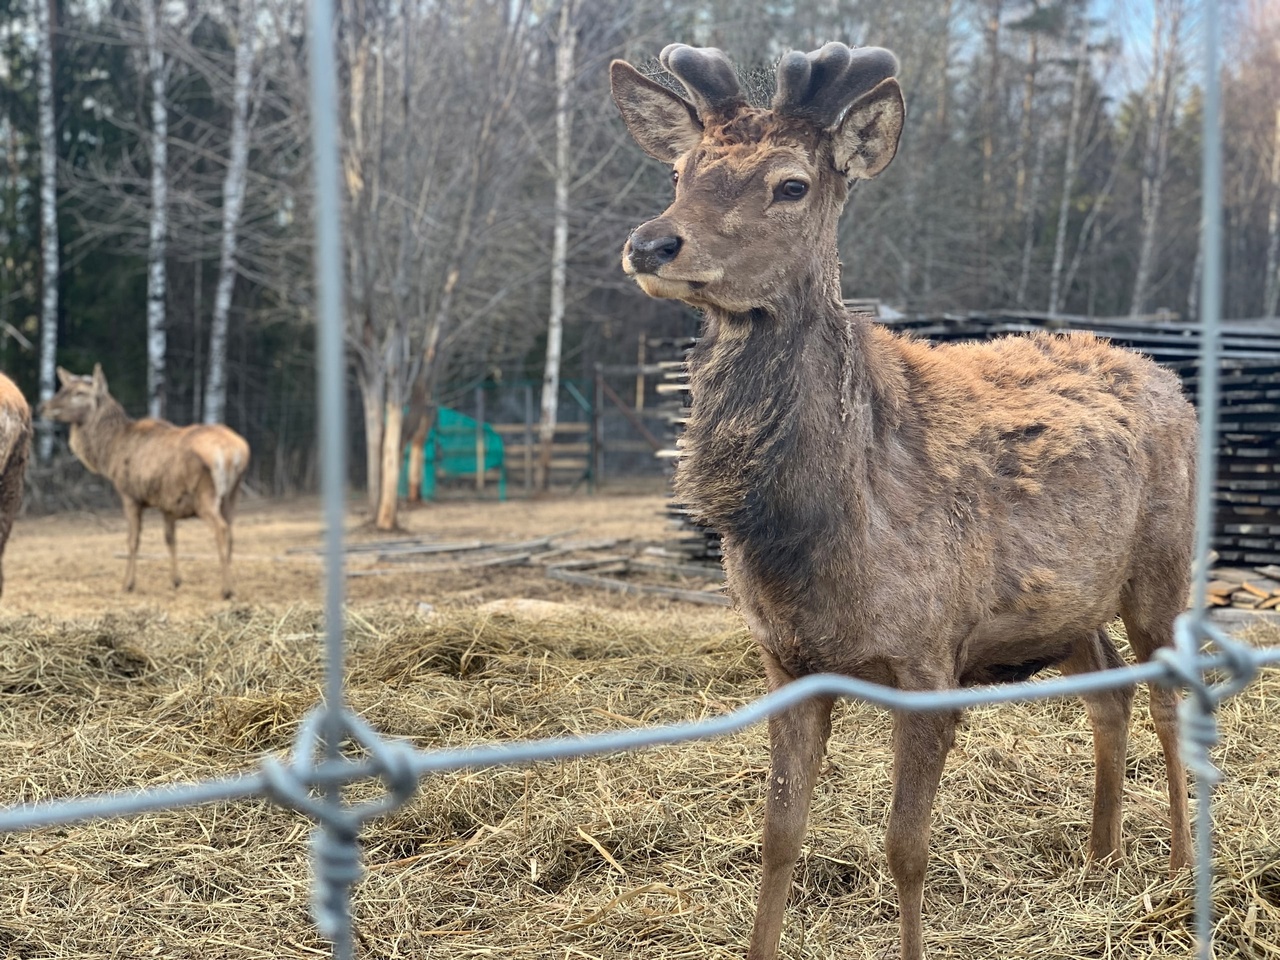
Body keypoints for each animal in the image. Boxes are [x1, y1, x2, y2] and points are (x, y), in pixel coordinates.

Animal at [41, 363, 249, 599]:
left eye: (79, 393)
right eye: (62, 388)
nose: (43, 407)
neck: (110, 452)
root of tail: (235, 453)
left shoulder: (129, 494)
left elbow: (133, 540)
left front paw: (127, 584)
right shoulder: (168, 503)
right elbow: (170, 538)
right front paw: (175, 580)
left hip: (205, 494)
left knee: (221, 530)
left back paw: (226, 590)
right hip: (232, 494)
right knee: (231, 532)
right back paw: (231, 584)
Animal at [609, 41, 1198, 960]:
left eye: (790, 184)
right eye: (681, 169)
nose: (651, 242)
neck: (816, 541)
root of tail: (1164, 376)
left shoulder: (929, 652)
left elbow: (905, 848)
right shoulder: (785, 660)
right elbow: (777, 835)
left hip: (1163, 567)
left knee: (1171, 698)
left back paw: (1173, 871)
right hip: (1065, 606)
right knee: (1109, 691)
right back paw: (1099, 861)